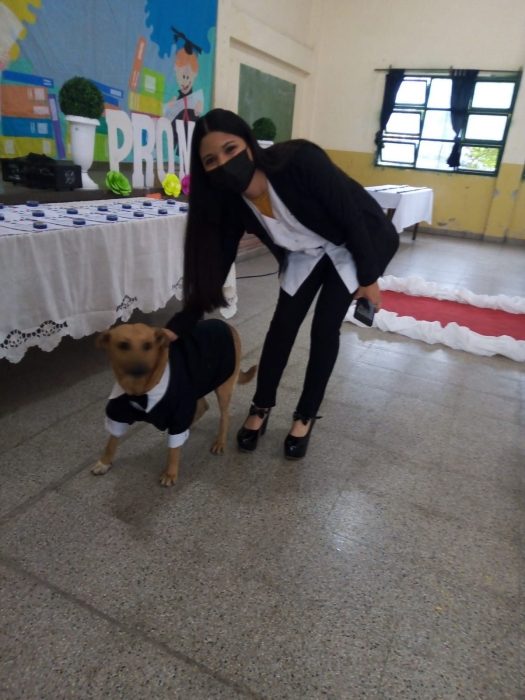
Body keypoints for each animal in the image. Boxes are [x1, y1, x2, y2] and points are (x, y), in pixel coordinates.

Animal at [92, 318, 256, 486]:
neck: (140, 390)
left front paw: (170, 473)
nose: (140, 368)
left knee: (224, 416)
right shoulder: (118, 413)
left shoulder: (179, 412)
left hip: (222, 387)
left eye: (148, 345)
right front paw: (104, 462)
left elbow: (173, 451)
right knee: (203, 406)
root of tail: (225, 324)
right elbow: (111, 441)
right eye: (123, 345)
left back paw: (220, 441)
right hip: (196, 384)